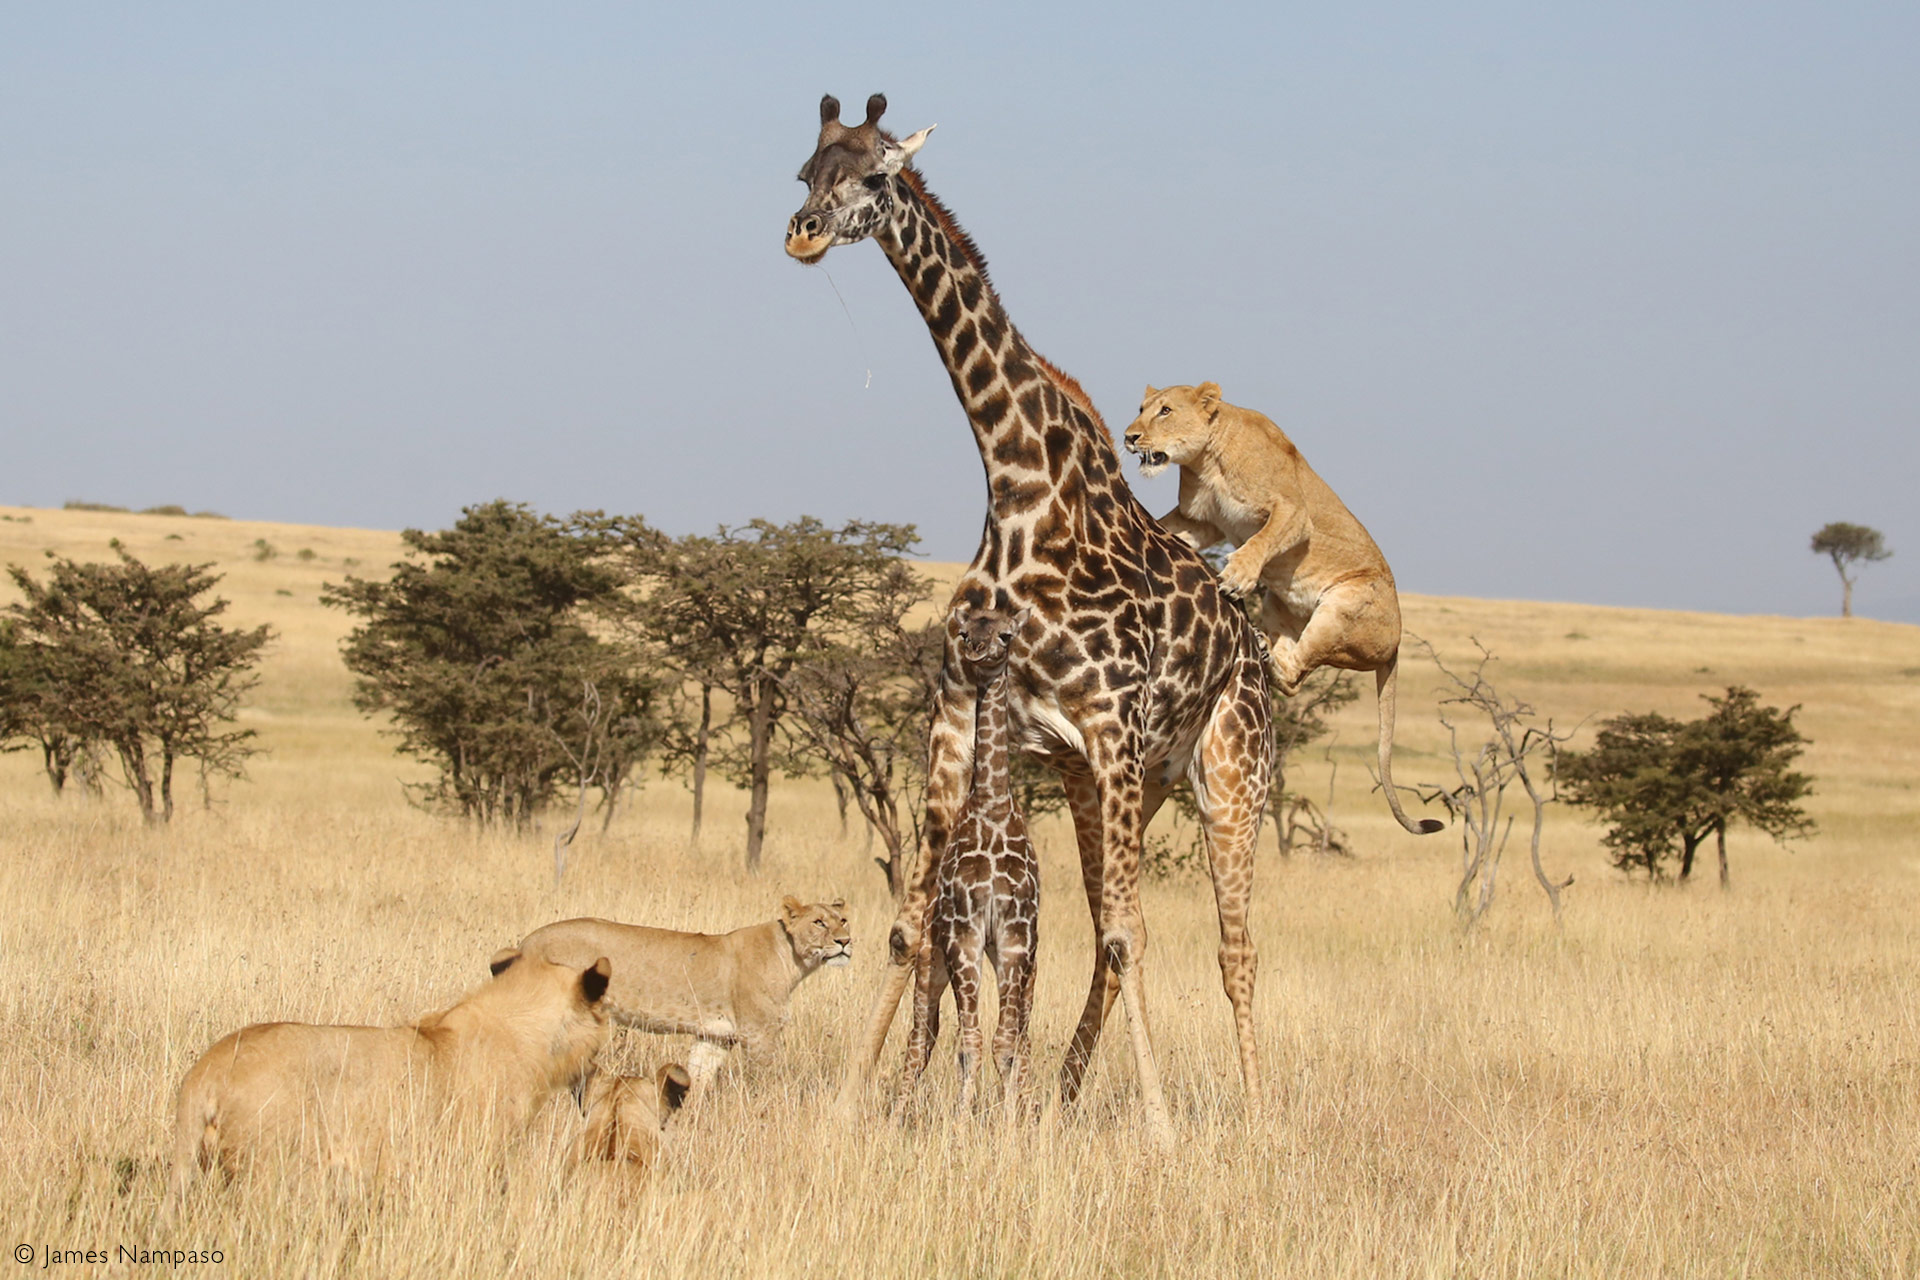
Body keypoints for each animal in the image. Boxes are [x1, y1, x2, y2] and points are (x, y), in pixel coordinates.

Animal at [514, 901, 852, 1090]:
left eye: (843, 920)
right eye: (818, 922)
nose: (845, 941)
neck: (793, 960)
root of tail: (527, 942)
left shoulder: (715, 1037)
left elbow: (698, 1078)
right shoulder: (759, 1036)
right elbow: (769, 1082)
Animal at [902, 606, 1044, 1113]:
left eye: (1006, 634)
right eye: (964, 632)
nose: (980, 651)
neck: (992, 806)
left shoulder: (1016, 937)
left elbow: (1006, 1042)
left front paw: (1013, 1119)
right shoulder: (964, 934)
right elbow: (970, 1044)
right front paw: (965, 1120)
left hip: (1020, 964)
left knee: (1020, 1034)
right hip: (931, 961)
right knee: (920, 1039)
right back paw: (898, 1112)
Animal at [1121, 383, 1443, 840]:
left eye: (1165, 411)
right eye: (1141, 409)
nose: (1129, 437)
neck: (1207, 461)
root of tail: (1397, 642)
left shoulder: (1293, 512)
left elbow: (1264, 538)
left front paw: (1236, 576)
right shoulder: (1201, 521)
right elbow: (1168, 528)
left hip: (1343, 605)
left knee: (1293, 678)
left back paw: (1263, 650)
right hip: (1278, 603)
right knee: (1291, 665)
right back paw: (1262, 644)